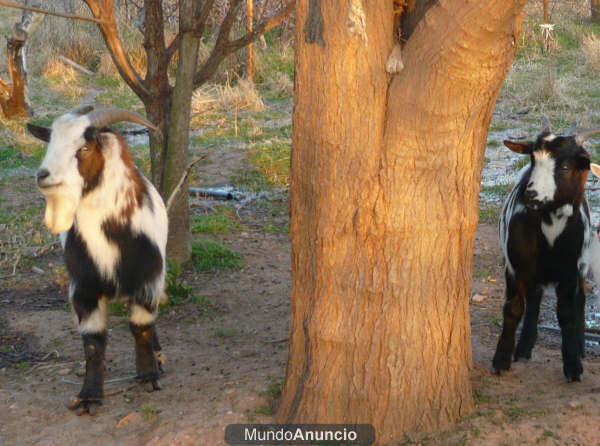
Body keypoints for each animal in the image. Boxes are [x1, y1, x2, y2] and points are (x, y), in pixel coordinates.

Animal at [29, 105, 166, 414]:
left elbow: (141, 328)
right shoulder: (84, 290)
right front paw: (89, 396)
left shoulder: (148, 281)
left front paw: (148, 375)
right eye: (50, 142)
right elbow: (93, 342)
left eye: (84, 147)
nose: (44, 175)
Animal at [492, 117, 600, 380]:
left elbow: (567, 314)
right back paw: (524, 347)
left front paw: (573, 365)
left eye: (565, 166)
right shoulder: (515, 266)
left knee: (580, 299)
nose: (530, 194)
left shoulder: (571, 271)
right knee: (534, 298)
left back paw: (580, 346)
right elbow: (513, 309)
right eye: (532, 160)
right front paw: (501, 359)